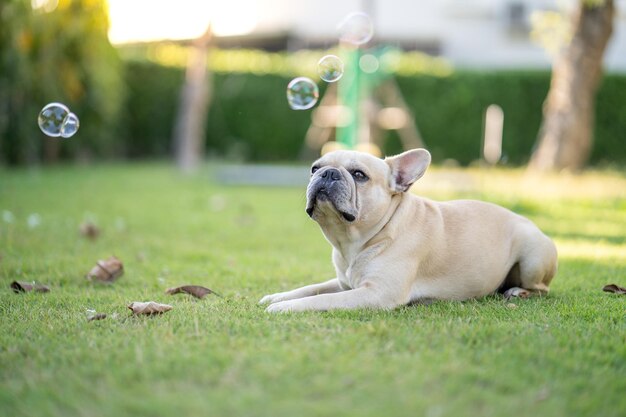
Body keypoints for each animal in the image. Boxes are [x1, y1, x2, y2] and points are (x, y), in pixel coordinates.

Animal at [258, 148, 556, 310]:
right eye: (314, 168)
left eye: (359, 175)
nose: (327, 173)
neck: (355, 243)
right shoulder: (344, 283)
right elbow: (311, 289)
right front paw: (276, 296)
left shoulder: (376, 293)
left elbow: (322, 301)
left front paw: (282, 307)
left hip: (532, 254)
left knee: (541, 288)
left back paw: (518, 292)